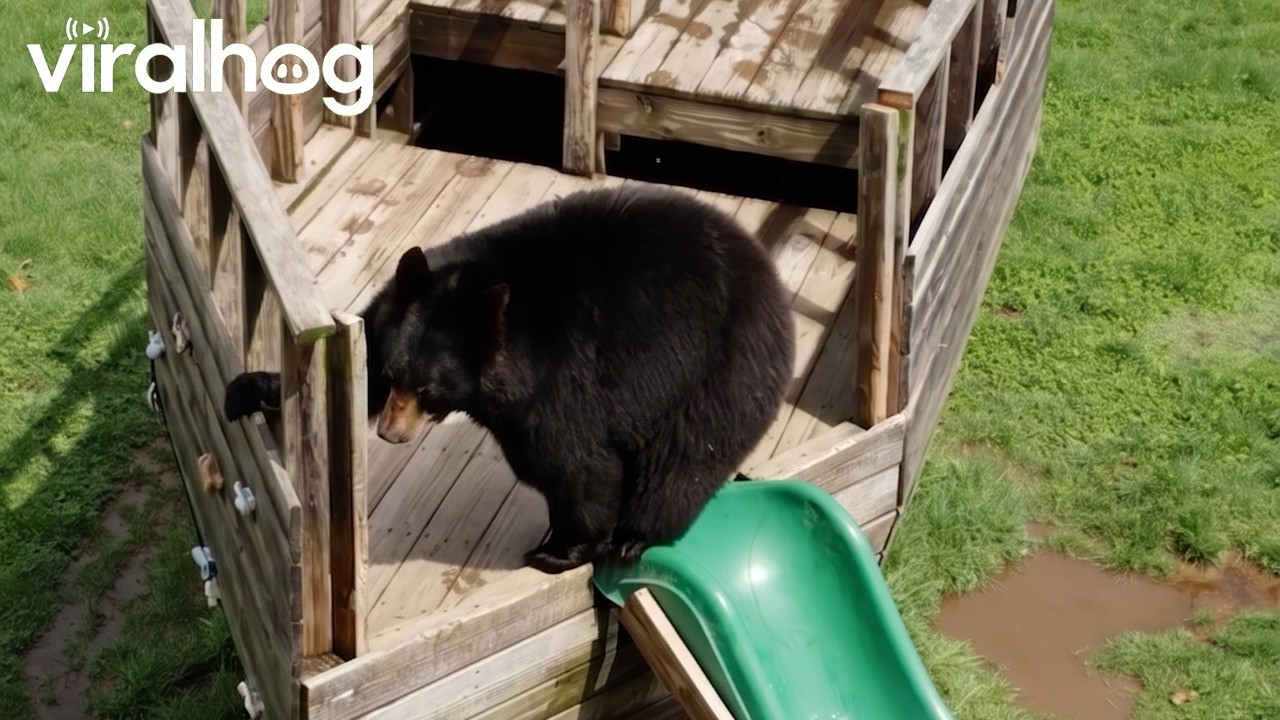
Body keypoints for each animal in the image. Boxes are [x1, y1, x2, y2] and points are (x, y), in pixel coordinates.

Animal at [225, 185, 795, 574]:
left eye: (430, 389)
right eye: (392, 374)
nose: (390, 433)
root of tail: (769, 277)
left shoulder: (561, 381)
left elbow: (575, 464)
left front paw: (560, 548)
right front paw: (251, 389)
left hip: (718, 370)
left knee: (682, 459)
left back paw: (635, 535)